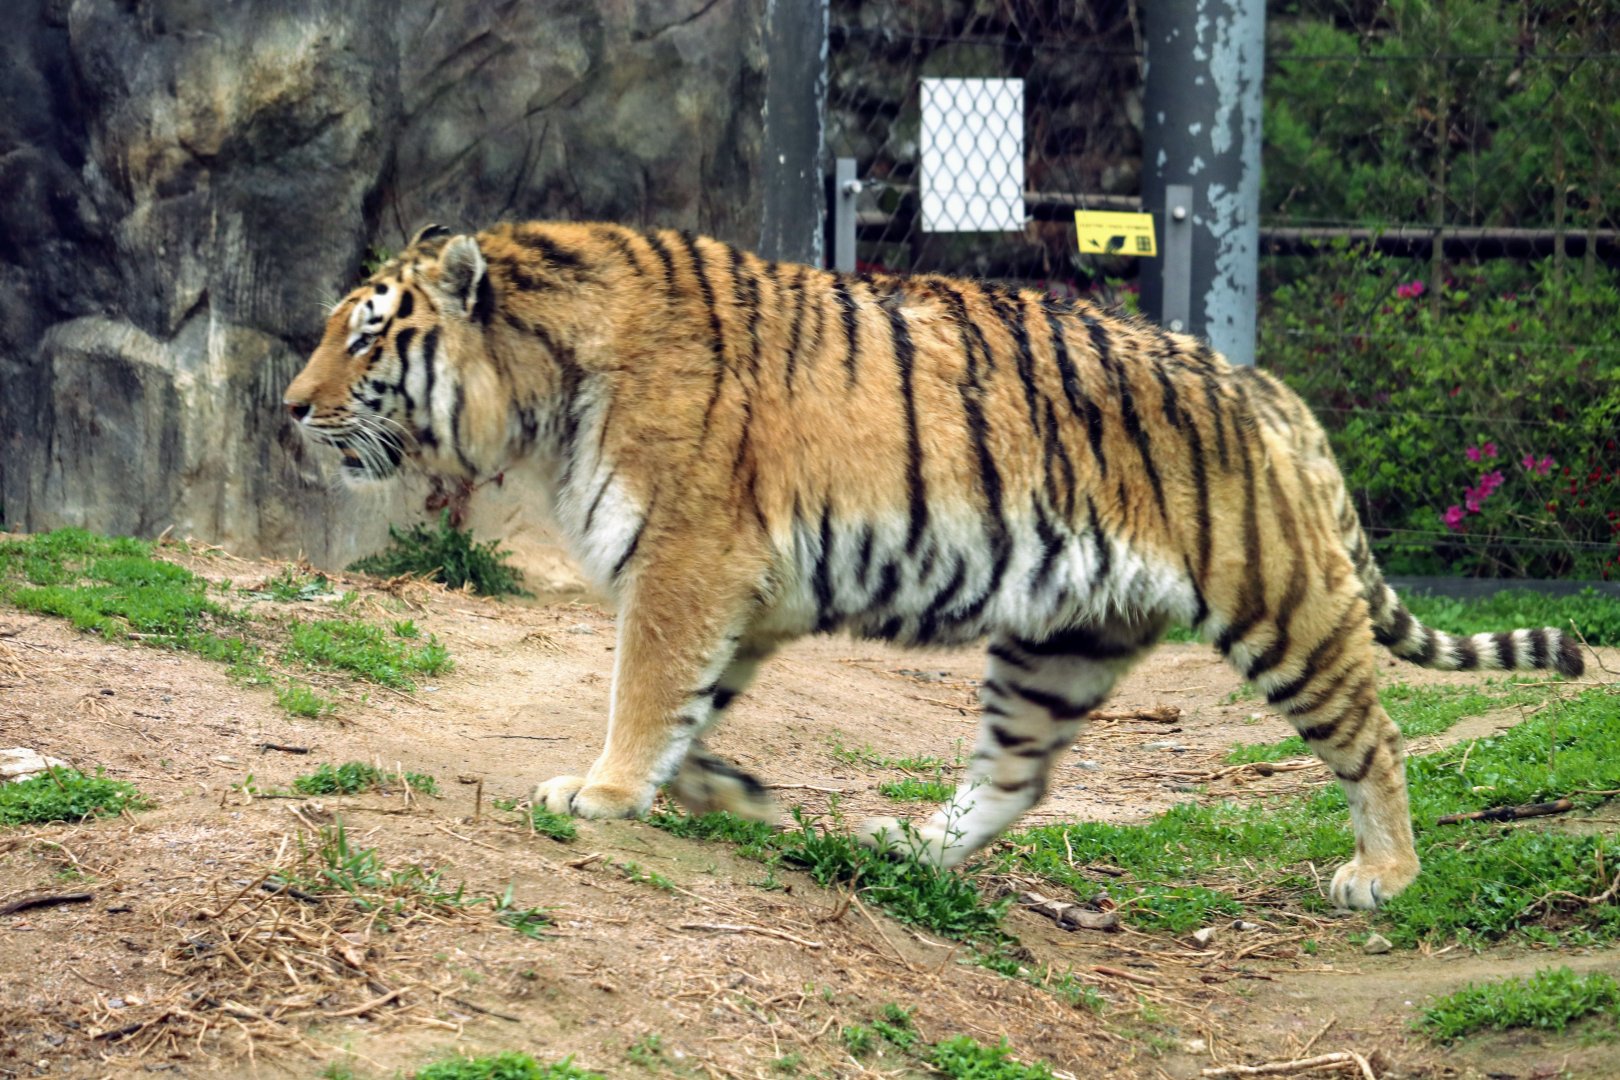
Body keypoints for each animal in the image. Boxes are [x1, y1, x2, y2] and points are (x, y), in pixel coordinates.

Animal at [284, 220, 1584, 911]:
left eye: (365, 337)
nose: (289, 407)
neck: (540, 391)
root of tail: (1268, 388)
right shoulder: (741, 594)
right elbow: (690, 709)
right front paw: (719, 791)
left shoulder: (688, 563)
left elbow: (644, 691)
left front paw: (600, 793)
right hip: (1062, 641)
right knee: (1016, 779)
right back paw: (900, 847)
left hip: (1281, 605)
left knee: (1377, 734)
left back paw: (1386, 874)